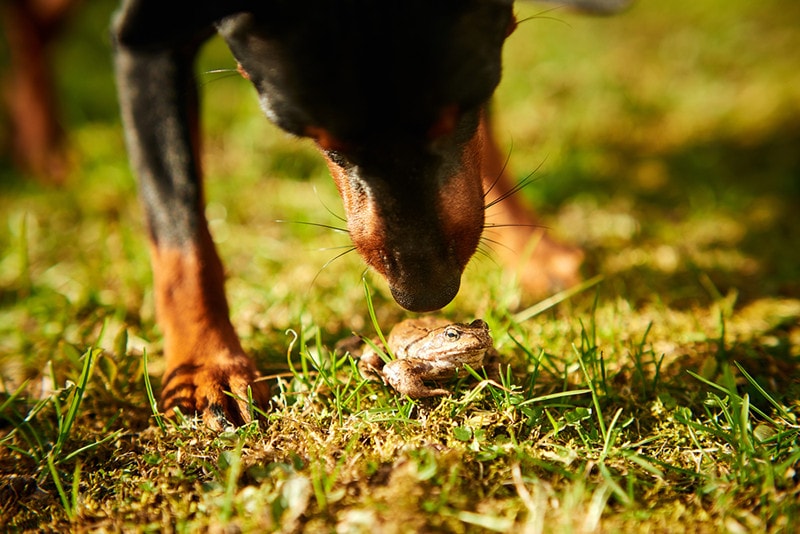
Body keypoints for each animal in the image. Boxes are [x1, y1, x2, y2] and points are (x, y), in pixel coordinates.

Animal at [112, 0, 592, 428]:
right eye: (451, 335)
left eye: (482, 325)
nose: (427, 295)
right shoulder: (143, 41)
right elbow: (179, 236)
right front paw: (205, 370)